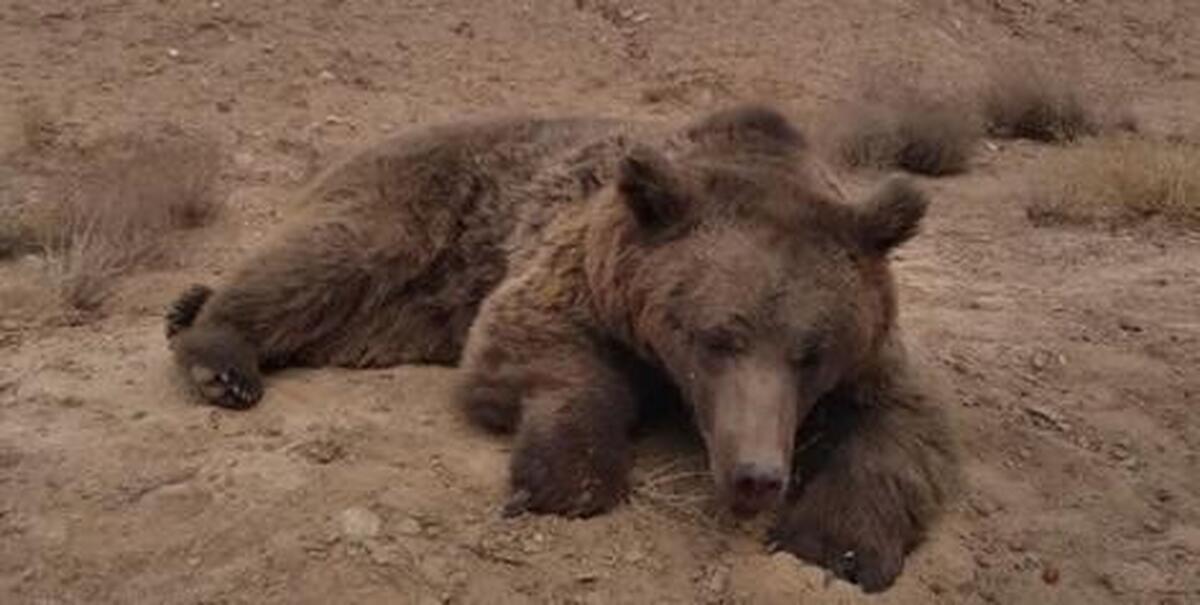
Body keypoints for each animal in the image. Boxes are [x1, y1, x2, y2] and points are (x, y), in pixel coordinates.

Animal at [166, 103, 955, 590]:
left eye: (811, 353)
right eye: (716, 337)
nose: (757, 473)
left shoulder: (873, 352)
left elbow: (903, 424)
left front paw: (836, 542)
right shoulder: (580, 272)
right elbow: (533, 345)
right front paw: (564, 477)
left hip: (404, 314)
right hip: (416, 203)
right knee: (328, 256)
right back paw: (218, 357)